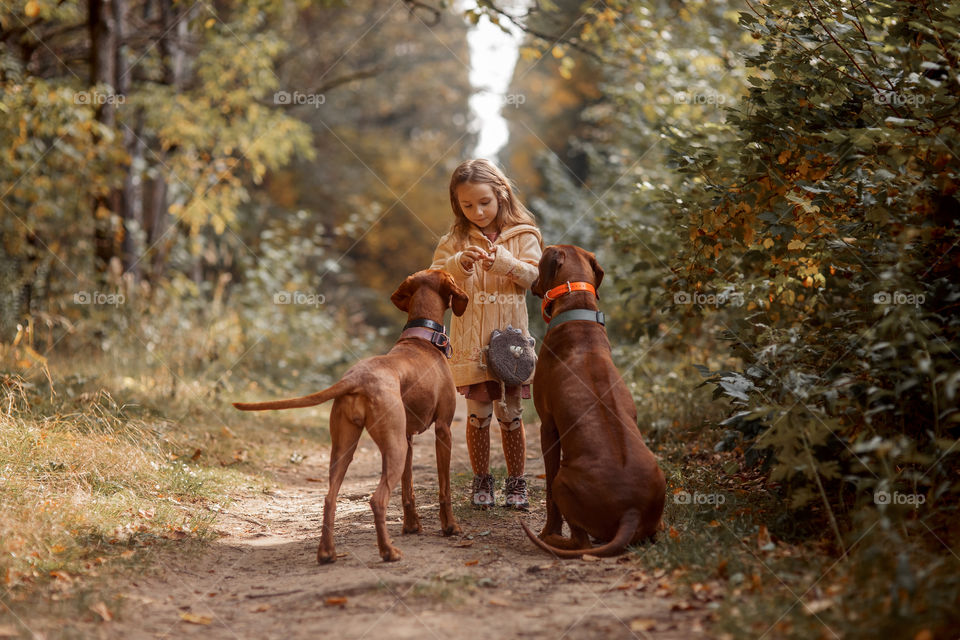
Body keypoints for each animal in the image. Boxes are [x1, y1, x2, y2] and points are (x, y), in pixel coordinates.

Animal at [232, 268, 464, 560]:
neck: (423, 339)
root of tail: (356, 379)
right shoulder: (443, 429)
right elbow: (444, 488)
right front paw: (450, 527)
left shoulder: (409, 437)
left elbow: (408, 490)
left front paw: (412, 526)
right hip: (393, 447)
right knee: (377, 499)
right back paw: (387, 551)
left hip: (348, 447)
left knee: (329, 498)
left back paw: (327, 553)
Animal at [520, 245, 664, 556]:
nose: (531, 283)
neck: (577, 312)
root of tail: (631, 512)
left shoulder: (547, 426)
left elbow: (549, 493)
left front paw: (548, 530)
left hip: (564, 481)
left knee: (580, 540)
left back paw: (554, 540)